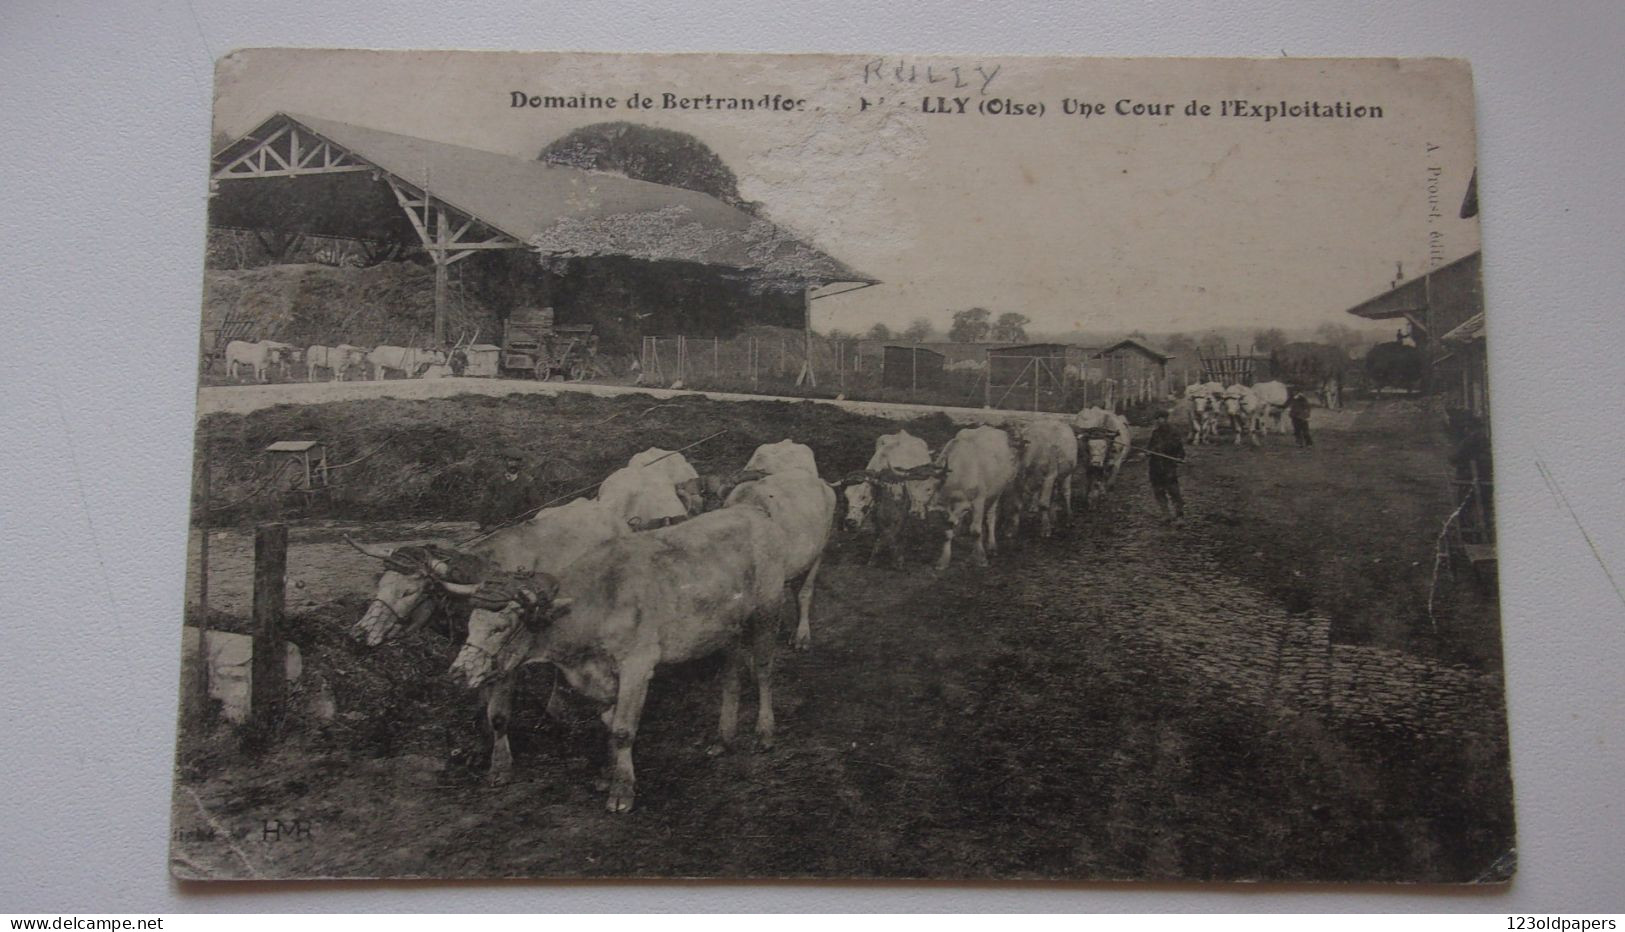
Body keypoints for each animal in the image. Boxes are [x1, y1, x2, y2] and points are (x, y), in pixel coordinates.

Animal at [346, 500, 624, 785]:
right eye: (380, 584)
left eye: (408, 592)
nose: (359, 634)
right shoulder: (474, 658)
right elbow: (481, 707)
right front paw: (478, 751)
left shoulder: (507, 663)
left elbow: (498, 715)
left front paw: (500, 765)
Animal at [445, 500, 786, 815]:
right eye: (471, 623)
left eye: (501, 628)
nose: (458, 673)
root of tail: (751, 511)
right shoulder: (599, 676)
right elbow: (609, 723)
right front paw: (606, 776)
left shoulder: (637, 665)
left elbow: (623, 730)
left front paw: (621, 793)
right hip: (729, 630)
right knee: (731, 677)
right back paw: (723, 739)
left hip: (767, 608)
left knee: (764, 669)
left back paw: (765, 733)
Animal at [832, 431, 936, 571]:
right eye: (845, 496)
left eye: (864, 496)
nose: (850, 522)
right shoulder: (876, 516)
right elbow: (880, 537)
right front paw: (872, 561)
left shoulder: (901, 514)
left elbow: (895, 535)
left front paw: (898, 562)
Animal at [929, 428, 1014, 574]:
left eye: (928, 487)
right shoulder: (945, 508)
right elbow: (947, 532)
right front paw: (943, 561)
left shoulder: (978, 500)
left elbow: (976, 531)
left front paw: (981, 558)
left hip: (997, 492)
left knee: (990, 517)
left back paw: (992, 546)